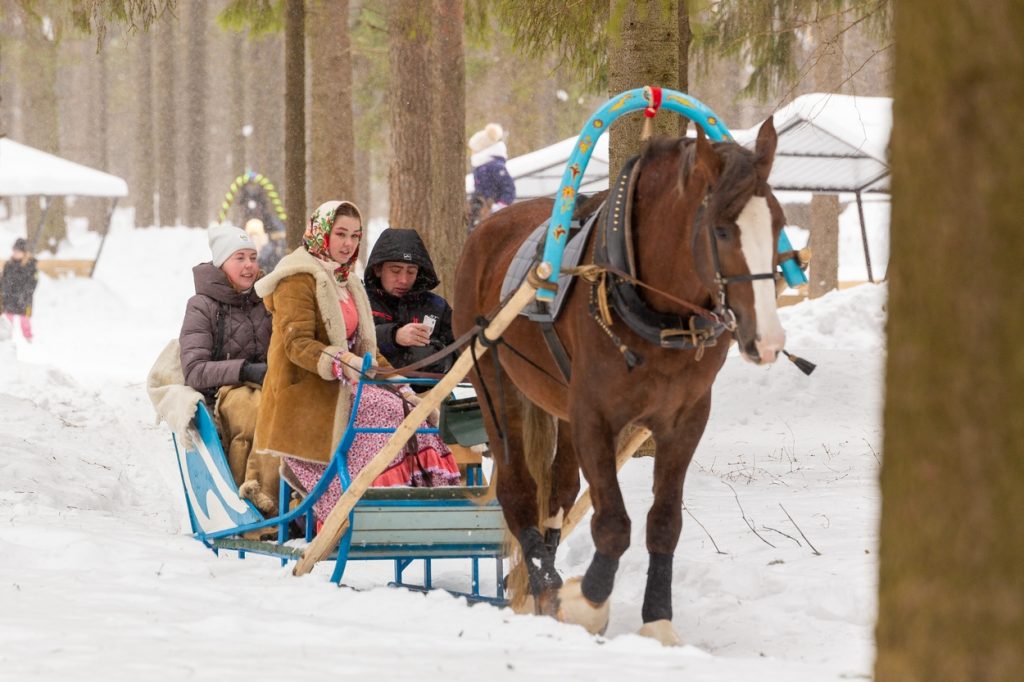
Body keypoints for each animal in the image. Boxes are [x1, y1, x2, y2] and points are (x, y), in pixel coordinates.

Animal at [454, 119, 782, 647]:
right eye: (721, 229)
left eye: (777, 223)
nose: (767, 340)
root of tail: (488, 230)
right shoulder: (596, 416)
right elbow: (612, 521)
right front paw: (586, 600)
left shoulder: (685, 420)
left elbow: (664, 522)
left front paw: (658, 619)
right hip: (493, 379)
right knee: (518, 489)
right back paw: (546, 588)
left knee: (559, 491)